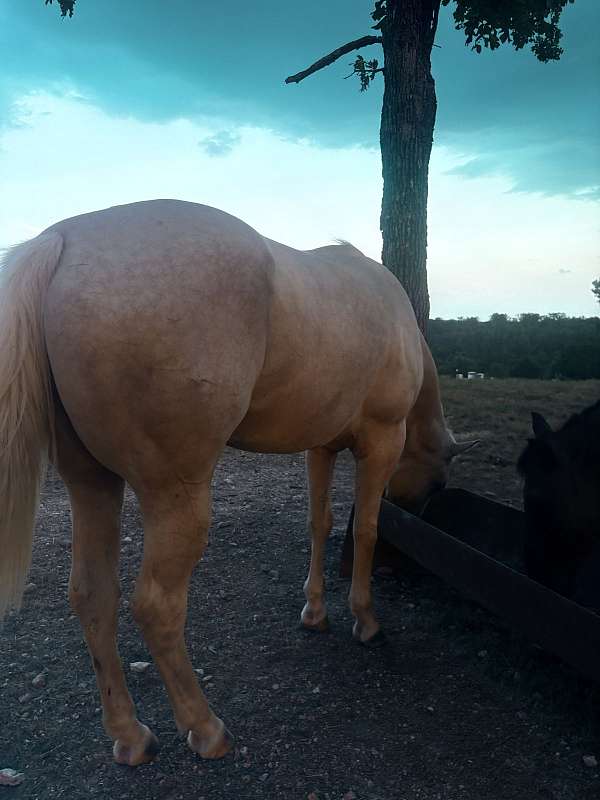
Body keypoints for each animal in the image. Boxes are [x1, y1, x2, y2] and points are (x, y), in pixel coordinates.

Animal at [0, 199, 474, 766]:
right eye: (437, 485)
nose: (421, 508)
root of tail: (64, 239)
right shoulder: (380, 441)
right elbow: (365, 530)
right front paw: (365, 619)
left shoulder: (320, 448)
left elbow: (320, 523)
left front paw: (315, 611)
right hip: (176, 496)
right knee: (156, 607)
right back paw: (205, 728)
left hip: (93, 485)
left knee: (93, 596)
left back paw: (130, 735)